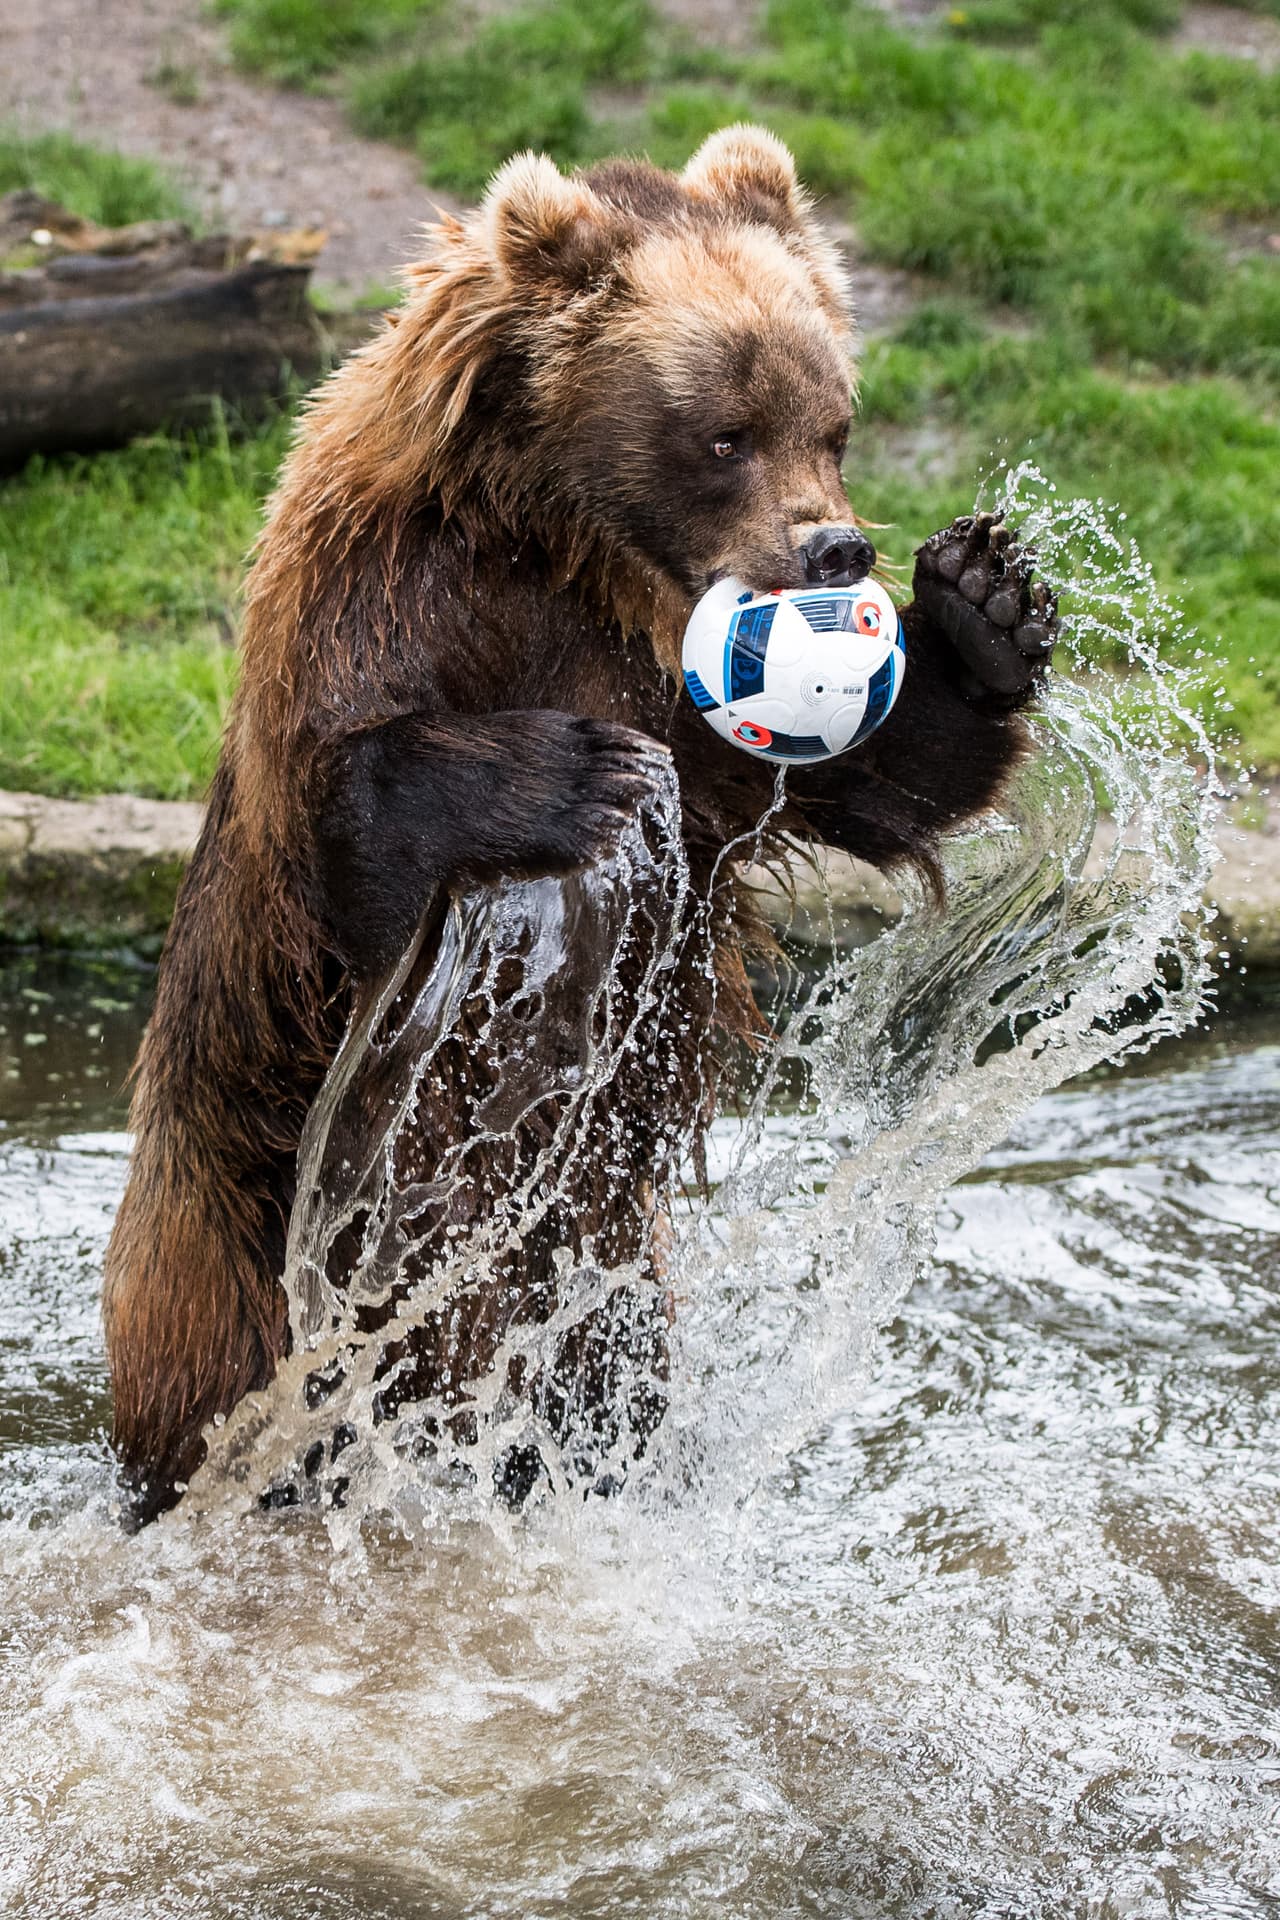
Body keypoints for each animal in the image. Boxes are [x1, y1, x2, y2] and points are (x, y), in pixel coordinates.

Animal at [103, 126, 1057, 1523]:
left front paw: (985, 602)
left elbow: (884, 780)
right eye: (724, 434)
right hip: (241, 1256)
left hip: (600, 1292)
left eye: (833, 422)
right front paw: (570, 773)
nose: (833, 548)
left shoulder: (698, 727)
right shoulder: (380, 610)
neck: (560, 541)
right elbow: (362, 856)